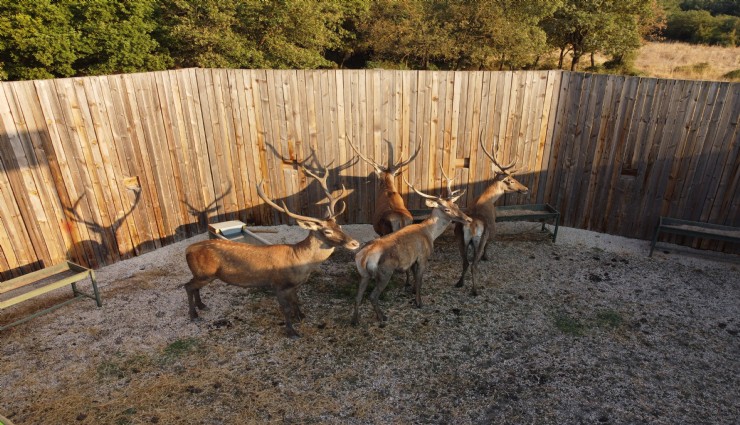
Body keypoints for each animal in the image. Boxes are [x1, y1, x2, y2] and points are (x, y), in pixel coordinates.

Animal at [184, 161, 360, 336]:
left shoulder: (293, 286)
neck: (299, 261)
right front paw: (291, 331)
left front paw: (301, 316)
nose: (355, 243)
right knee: (187, 286)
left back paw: (201, 306)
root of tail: (187, 249)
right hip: (205, 273)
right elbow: (285, 309)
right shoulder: (278, 284)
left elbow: (296, 301)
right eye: (327, 231)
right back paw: (193, 314)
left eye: (340, 226)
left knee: (193, 286)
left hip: (202, 274)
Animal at [352, 174, 468, 326]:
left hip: (363, 274)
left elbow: (413, 275)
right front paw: (419, 302)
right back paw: (382, 317)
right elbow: (419, 280)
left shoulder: (413, 259)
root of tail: (363, 256)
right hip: (385, 272)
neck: (430, 234)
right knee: (372, 296)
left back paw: (355, 320)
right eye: (446, 209)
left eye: (456, 205)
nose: (467, 219)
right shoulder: (423, 256)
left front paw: (412, 291)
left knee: (357, 297)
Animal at [454, 138, 528, 294]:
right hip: (481, 237)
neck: (489, 199)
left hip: (459, 237)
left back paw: (459, 283)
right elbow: (489, 244)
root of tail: (472, 225)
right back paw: (475, 290)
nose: (525, 189)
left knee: (465, 261)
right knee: (473, 264)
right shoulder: (493, 229)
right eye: (511, 180)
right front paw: (486, 257)